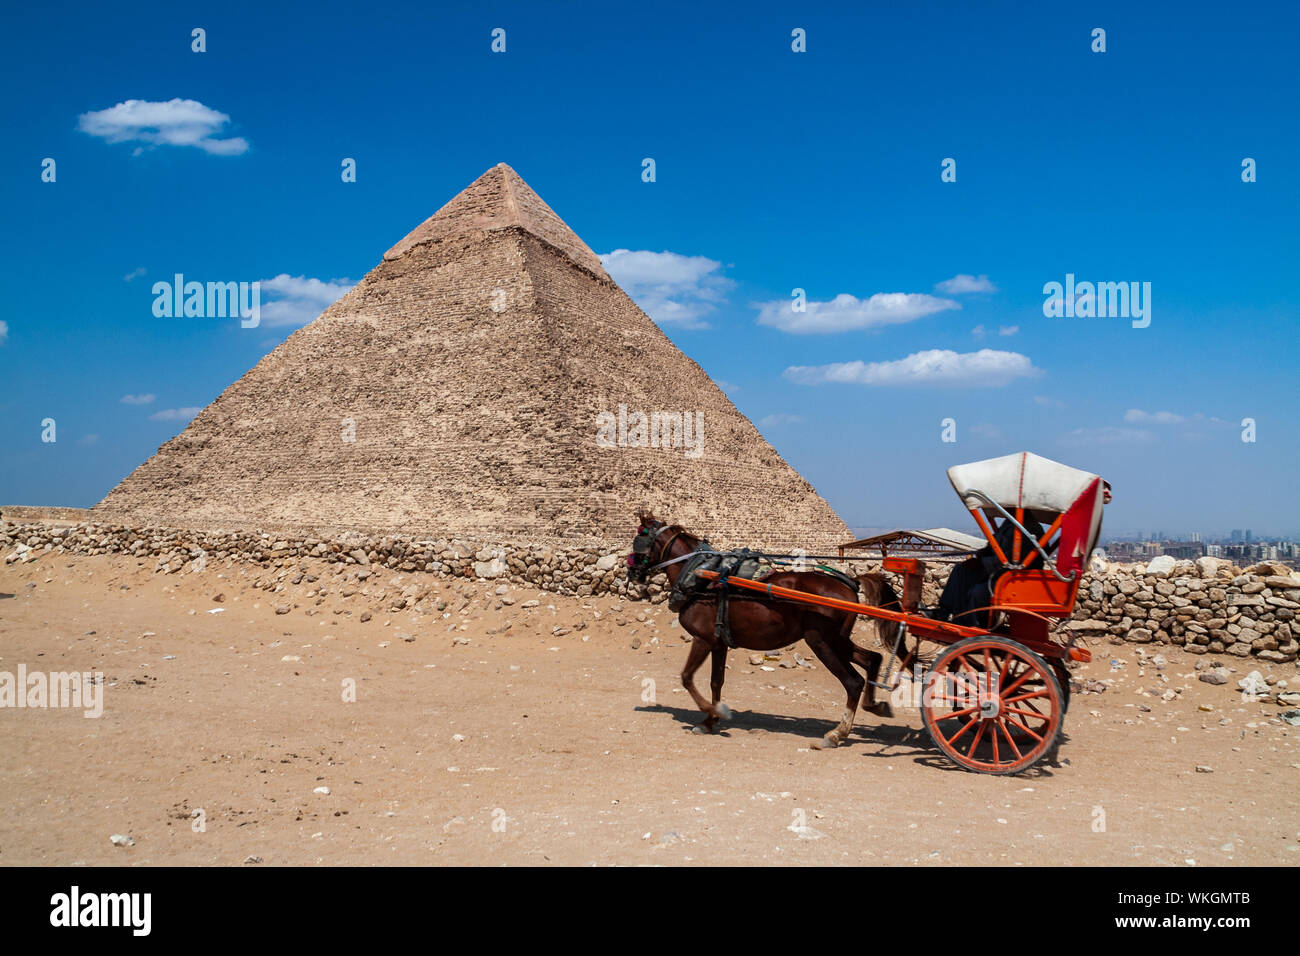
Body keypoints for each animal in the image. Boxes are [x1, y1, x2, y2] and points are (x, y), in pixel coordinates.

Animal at [627, 514, 902, 748]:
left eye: (639, 538)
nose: (631, 572)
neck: (700, 575)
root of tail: (851, 583)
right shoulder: (719, 642)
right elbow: (716, 681)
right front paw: (710, 721)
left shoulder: (702, 639)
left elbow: (686, 677)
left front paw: (716, 712)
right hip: (838, 640)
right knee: (872, 658)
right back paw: (875, 706)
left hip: (821, 641)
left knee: (853, 681)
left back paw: (837, 733)